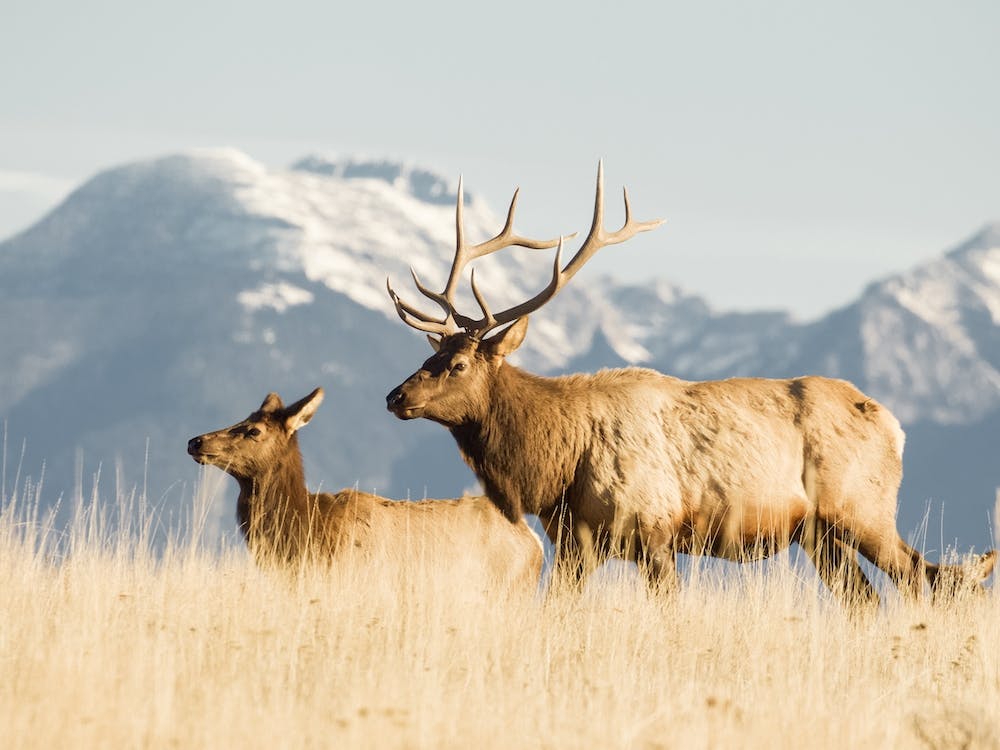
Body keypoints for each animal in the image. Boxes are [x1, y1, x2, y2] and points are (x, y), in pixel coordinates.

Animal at [384, 162, 997, 605]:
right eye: (431, 354)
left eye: (459, 366)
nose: (395, 396)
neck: (557, 464)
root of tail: (895, 426)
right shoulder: (576, 544)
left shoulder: (654, 533)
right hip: (819, 534)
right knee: (868, 600)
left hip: (862, 508)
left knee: (923, 576)